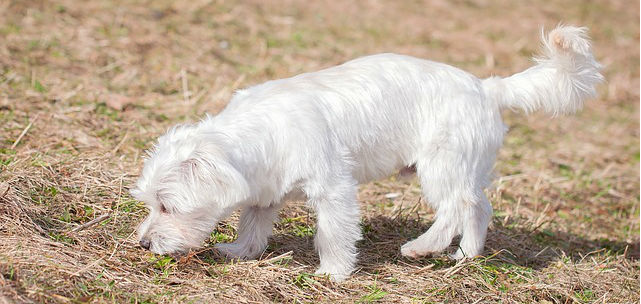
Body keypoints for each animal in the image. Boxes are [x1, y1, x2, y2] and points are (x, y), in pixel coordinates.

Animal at [132, 26, 604, 280]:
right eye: (151, 205)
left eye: (168, 206)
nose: (143, 244)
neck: (257, 131)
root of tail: (488, 87)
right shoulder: (265, 190)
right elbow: (253, 223)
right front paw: (240, 251)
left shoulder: (334, 189)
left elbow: (332, 233)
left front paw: (332, 273)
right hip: (467, 167)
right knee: (479, 207)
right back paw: (465, 256)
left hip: (440, 165)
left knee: (455, 205)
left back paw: (422, 247)